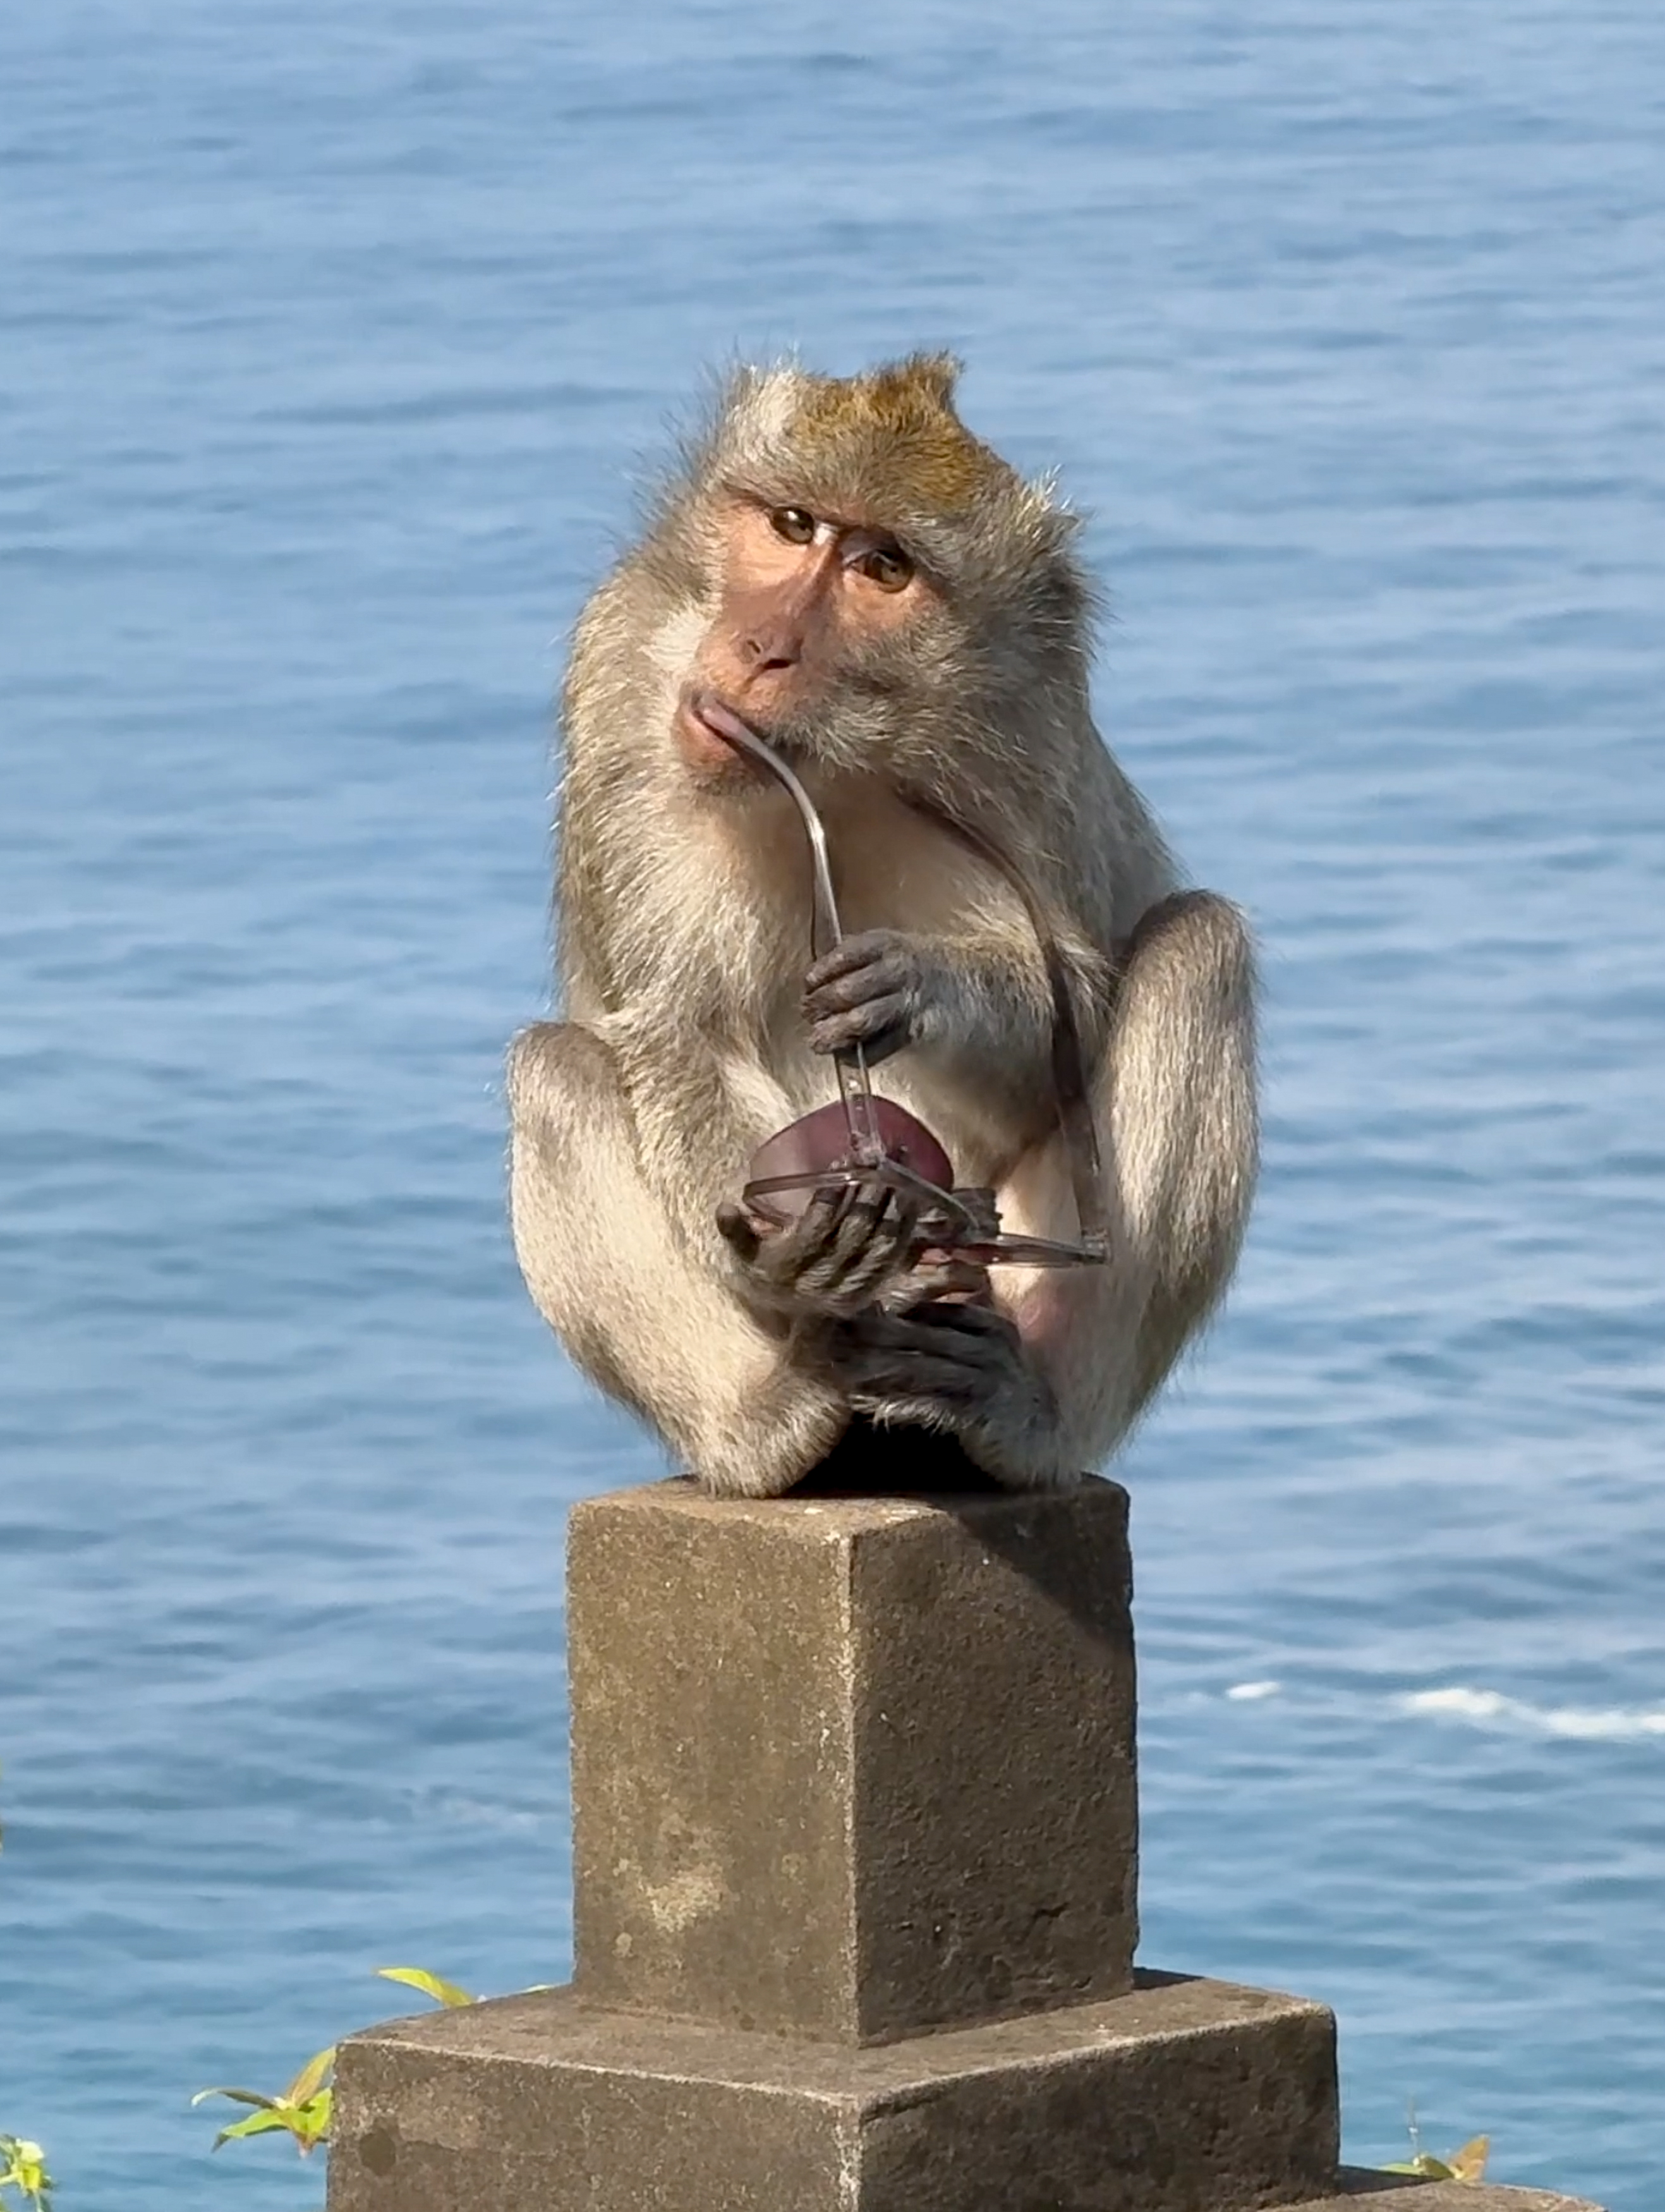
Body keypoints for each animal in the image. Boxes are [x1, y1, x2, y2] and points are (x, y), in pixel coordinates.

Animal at [507, 353, 1257, 1498]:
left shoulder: (1029, 715)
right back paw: (777, 1418)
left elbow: (1072, 1006)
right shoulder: (625, 668)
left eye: (882, 567)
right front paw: (795, 1253)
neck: (833, 758)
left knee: (1198, 951)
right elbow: (677, 1027)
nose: (763, 648)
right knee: (552, 1068)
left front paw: (918, 988)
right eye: (790, 524)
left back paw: (1022, 1416)